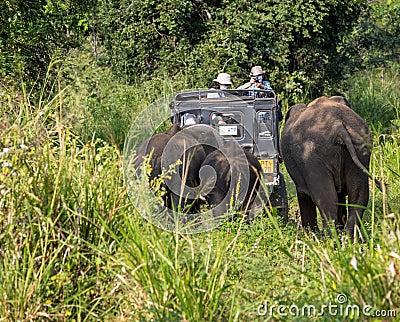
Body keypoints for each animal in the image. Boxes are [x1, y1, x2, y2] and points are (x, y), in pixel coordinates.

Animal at [280, 95, 374, 239]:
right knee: (359, 196)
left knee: (327, 200)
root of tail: (338, 126)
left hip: (311, 157)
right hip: (360, 148)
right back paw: (349, 239)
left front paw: (310, 235)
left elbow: (303, 195)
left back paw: (328, 239)